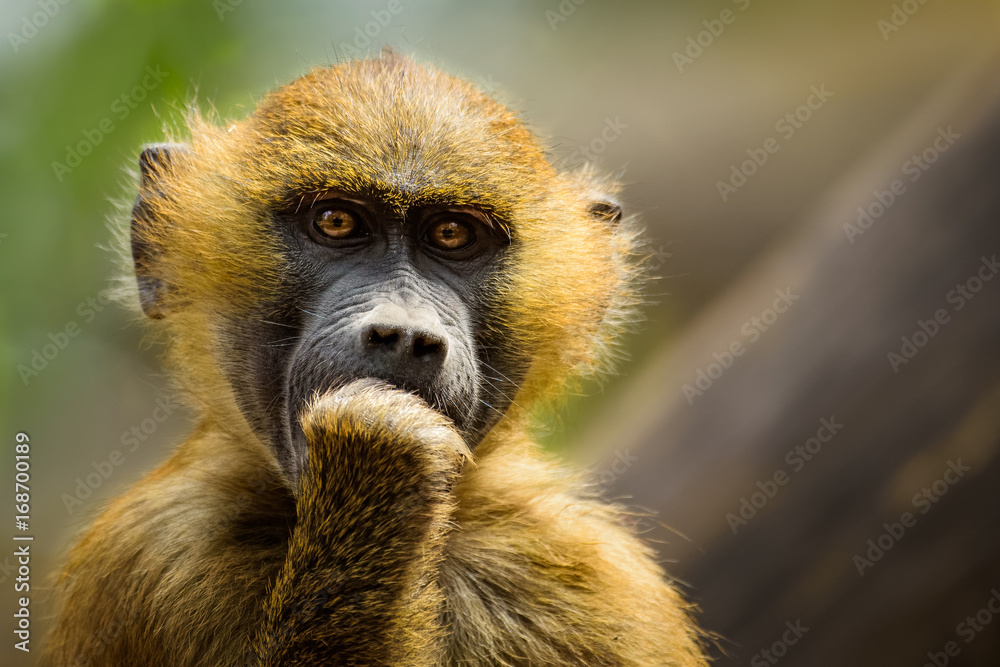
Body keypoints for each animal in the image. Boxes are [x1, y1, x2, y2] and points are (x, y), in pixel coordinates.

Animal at [42, 51, 707, 666]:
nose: (405, 336)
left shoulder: (593, 575)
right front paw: (377, 458)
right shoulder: (153, 547)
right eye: (336, 221)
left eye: (452, 235)